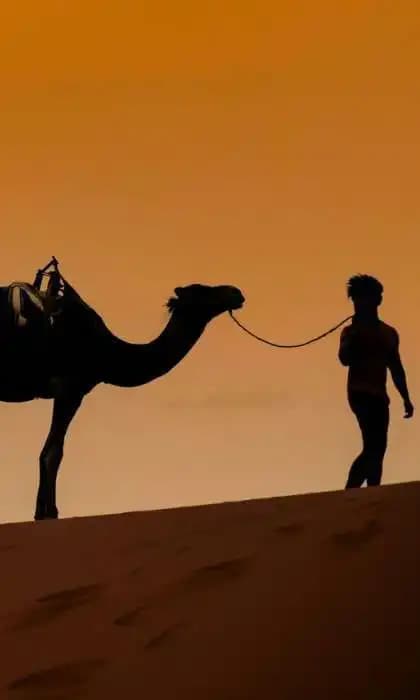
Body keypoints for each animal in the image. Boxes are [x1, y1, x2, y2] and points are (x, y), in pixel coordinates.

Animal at [0, 259, 245, 521]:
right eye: (202, 290)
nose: (236, 292)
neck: (108, 351)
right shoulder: (71, 388)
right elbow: (53, 452)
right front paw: (48, 513)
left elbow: (51, 451)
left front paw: (43, 511)